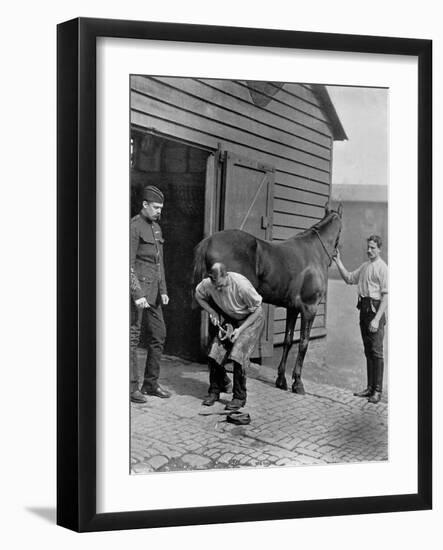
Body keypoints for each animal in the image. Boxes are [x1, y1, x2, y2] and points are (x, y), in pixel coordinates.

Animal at [192, 203, 344, 396]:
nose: (336, 254)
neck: (315, 252)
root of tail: (210, 241)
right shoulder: (310, 308)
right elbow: (303, 343)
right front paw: (297, 383)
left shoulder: (293, 308)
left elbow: (288, 341)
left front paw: (281, 380)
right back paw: (225, 381)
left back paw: (223, 381)